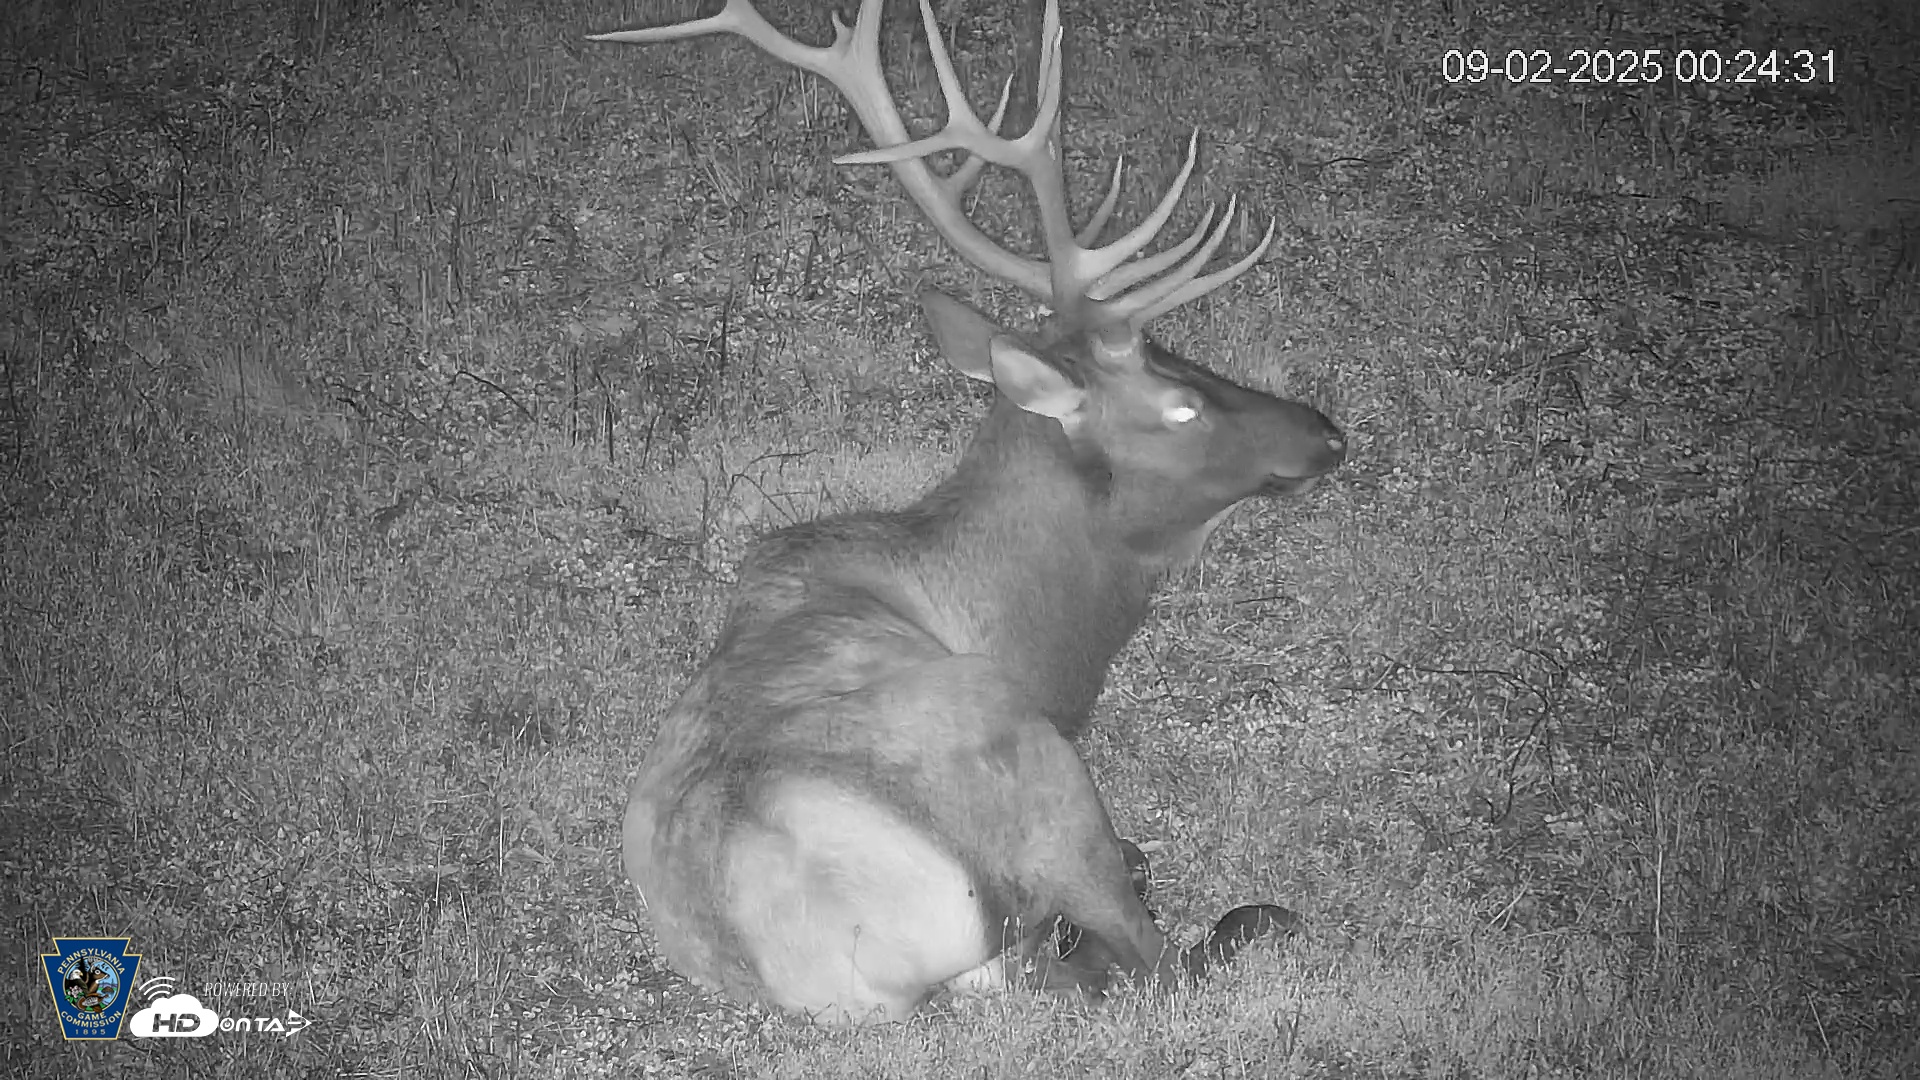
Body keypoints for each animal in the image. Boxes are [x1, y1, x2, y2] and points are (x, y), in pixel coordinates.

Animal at [590, 0, 1347, 1023]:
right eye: (1180, 404)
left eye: (1186, 356)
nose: (1324, 433)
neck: (1036, 634)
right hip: (1034, 774)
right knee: (1156, 961)